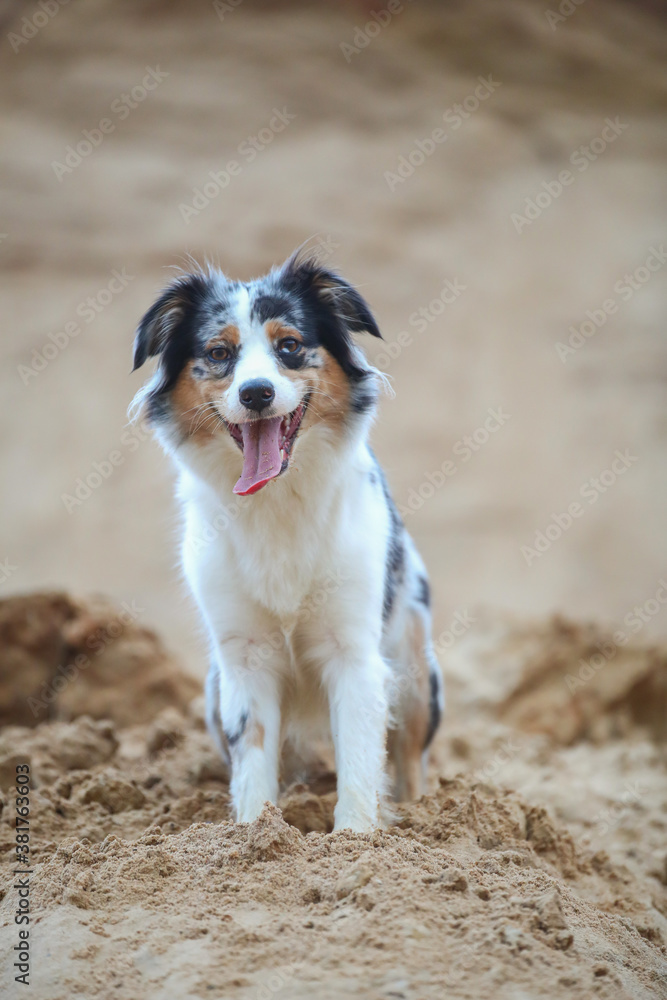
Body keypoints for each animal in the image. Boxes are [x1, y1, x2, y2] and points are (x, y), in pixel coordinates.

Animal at [130, 254, 444, 832]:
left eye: (289, 345)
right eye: (219, 353)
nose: (256, 393)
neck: (276, 499)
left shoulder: (354, 652)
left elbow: (360, 761)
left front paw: (356, 837)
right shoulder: (244, 658)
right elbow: (253, 759)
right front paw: (258, 835)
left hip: (415, 669)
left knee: (410, 757)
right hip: (212, 690)